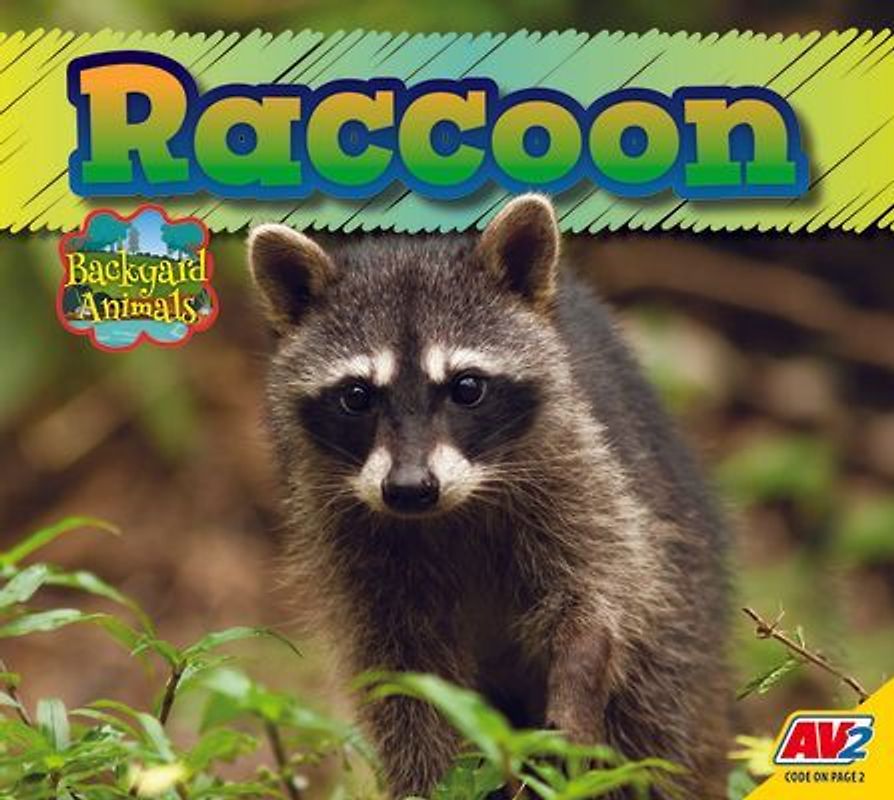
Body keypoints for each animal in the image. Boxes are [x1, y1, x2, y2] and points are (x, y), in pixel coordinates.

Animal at [248, 195, 730, 799]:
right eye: (356, 396)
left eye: (467, 388)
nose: (409, 489)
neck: (452, 508)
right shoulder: (348, 538)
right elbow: (404, 679)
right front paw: (430, 779)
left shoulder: (578, 465)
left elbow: (604, 584)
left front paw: (580, 671)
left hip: (683, 602)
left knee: (654, 716)